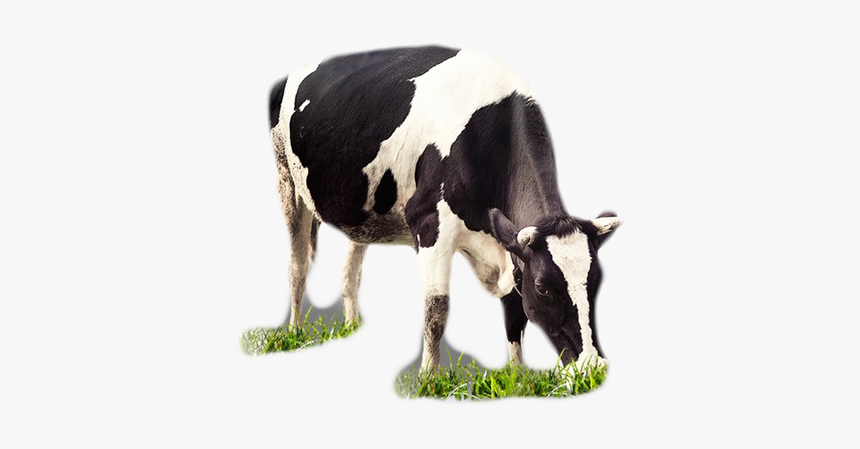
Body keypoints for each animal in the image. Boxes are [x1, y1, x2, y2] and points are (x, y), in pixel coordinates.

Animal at [268, 46, 621, 373]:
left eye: (597, 280)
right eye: (544, 289)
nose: (593, 364)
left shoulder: (508, 245)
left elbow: (515, 313)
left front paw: (518, 374)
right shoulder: (429, 224)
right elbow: (437, 310)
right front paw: (428, 376)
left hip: (361, 209)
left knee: (350, 272)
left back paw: (352, 327)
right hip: (287, 180)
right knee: (298, 266)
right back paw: (295, 331)